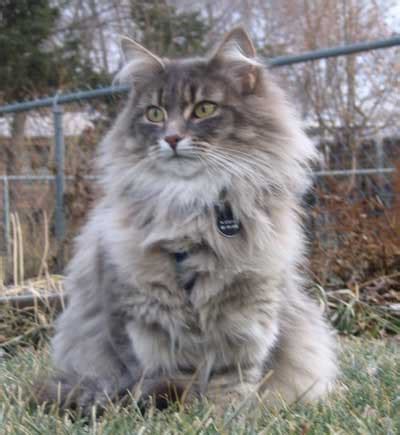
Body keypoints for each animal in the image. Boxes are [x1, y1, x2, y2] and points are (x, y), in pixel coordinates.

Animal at [36, 28, 338, 416]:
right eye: (154, 113)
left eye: (204, 109)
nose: (172, 137)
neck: (192, 209)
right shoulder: (139, 316)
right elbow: (167, 373)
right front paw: (183, 411)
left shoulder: (248, 311)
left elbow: (233, 377)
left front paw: (225, 415)